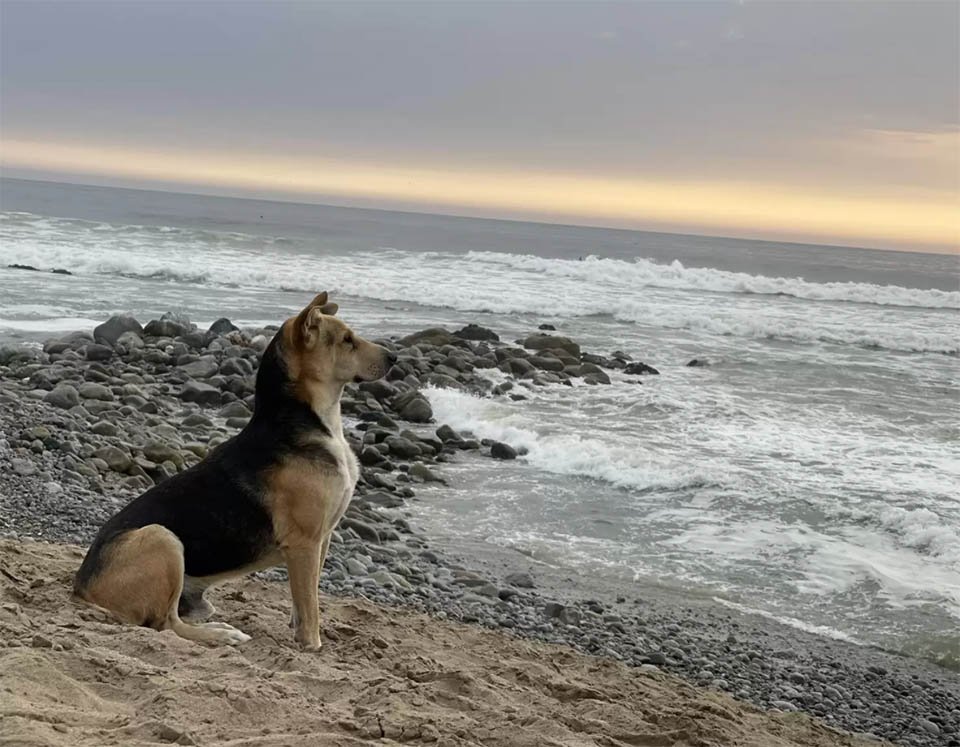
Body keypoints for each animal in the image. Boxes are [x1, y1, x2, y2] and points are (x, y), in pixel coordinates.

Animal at [71, 292, 394, 648]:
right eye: (347, 340)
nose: (394, 358)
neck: (307, 420)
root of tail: (82, 586)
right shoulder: (305, 543)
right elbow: (310, 605)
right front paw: (312, 645)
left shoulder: (322, 539)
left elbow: (303, 600)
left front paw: (299, 631)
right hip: (162, 537)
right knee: (166, 624)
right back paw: (221, 634)